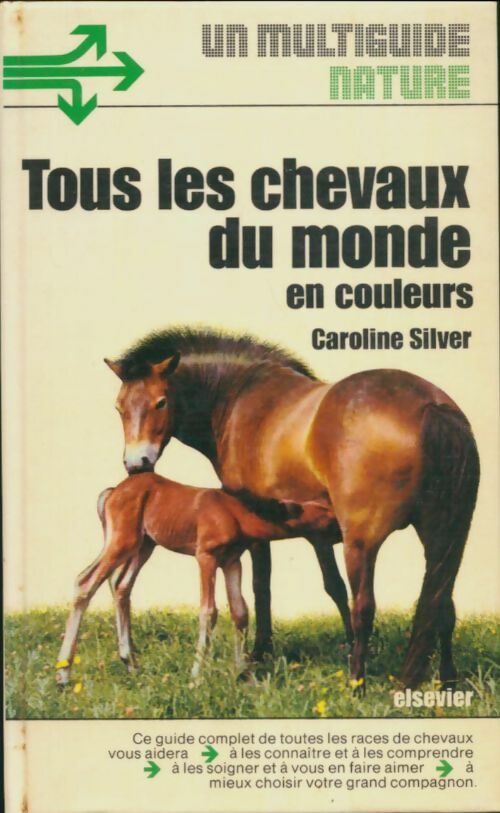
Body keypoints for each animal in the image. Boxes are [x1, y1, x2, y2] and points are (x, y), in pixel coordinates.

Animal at [55, 473, 335, 686]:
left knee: (121, 586)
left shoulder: (232, 562)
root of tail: (112, 492)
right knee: (85, 582)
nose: (341, 532)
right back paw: (63, 674)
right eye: (328, 515)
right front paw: (196, 676)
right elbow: (208, 611)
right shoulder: (206, 557)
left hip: (144, 545)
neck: (235, 512)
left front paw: (244, 673)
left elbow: (240, 612)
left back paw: (131, 664)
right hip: (122, 542)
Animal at [104, 327, 480, 689]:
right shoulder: (318, 535)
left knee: (366, 605)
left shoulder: (256, 530)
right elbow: (333, 586)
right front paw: (345, 646)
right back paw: (447, 680)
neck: (238, 397)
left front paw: (259, 652)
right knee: (441, 601)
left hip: (363, 541)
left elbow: (262, 588)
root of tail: (430, 406)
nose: (137, 464)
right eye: (119, 407)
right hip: (442, 536)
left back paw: (356, 683)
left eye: (161, 402)